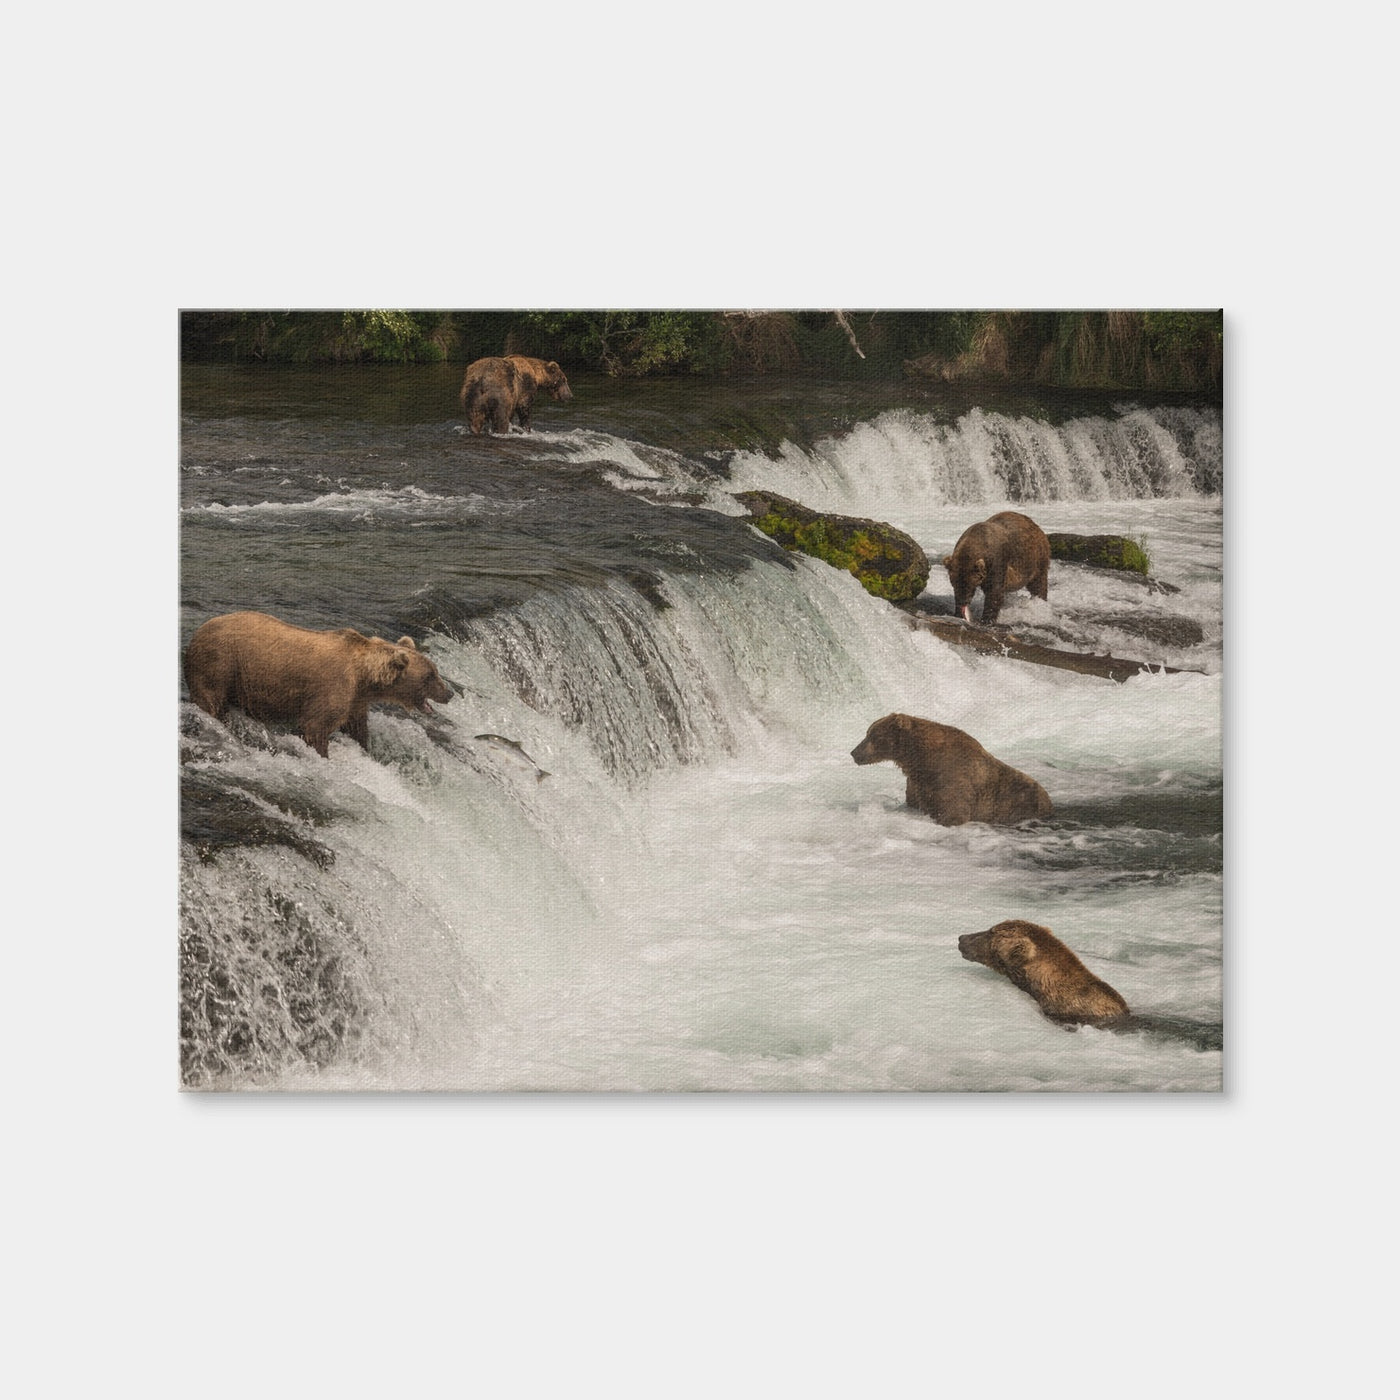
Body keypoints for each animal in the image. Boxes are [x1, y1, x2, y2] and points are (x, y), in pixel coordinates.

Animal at [183, 611, 453, 758]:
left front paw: (366, 747)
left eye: (435, 671)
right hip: (219, 665)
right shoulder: (333, 688)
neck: (364, 678)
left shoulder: (355, 700)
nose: (449, 693)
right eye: (431, 675)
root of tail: (197, 633)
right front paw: (323, 755)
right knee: (211, 702)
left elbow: (357, 728)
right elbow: (315, 728)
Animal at [850, 713, 1052, 825]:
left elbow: (954, 811)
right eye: (868, 732)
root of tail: (1049, 801)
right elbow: (914, 802)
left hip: (1021, 803)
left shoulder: (952, 775)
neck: (920, 759)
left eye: (872, 735)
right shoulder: (918, 782)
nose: (854, 752)